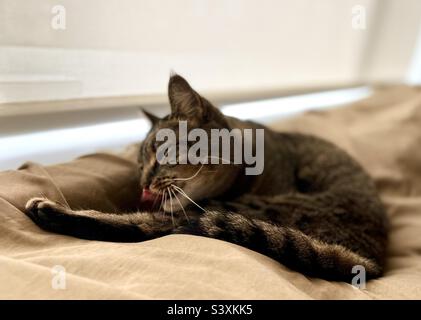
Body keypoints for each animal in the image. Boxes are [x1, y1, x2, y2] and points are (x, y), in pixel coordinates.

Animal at [25, 74, 388, 282]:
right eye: (139, 165)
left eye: (163, 153)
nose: (143, 185)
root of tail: (370, 260)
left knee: (144, 227)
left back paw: (50, 210)